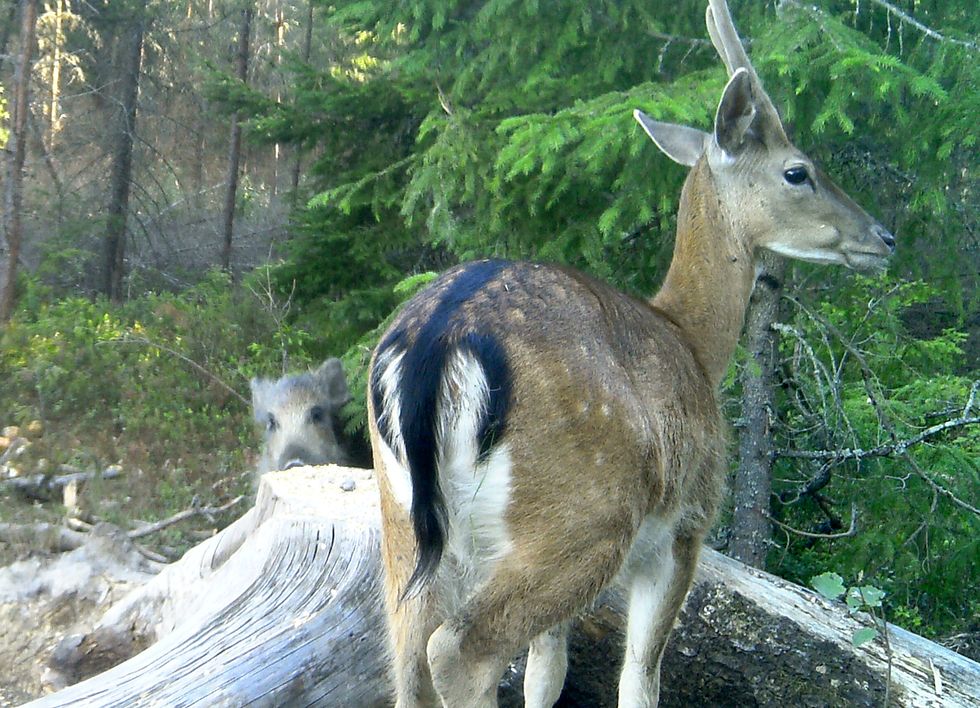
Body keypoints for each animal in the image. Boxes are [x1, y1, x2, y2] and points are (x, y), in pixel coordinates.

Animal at [366, 2, 896, 704]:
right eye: (797, 170)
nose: (884, 237)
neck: (696, 342)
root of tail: (435, 345)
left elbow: (547, 673)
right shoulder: (687, 524)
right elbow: (641, 674)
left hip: (402, 526)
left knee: (408, 663)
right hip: (582, 516)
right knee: (458, 650)